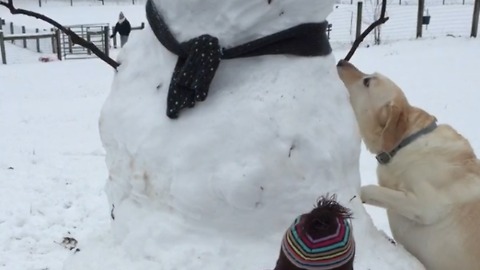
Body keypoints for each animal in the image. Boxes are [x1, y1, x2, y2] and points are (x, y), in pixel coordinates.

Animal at [336, 60, 480, 268]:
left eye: (367, 81)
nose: (341, 61)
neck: (405, 142)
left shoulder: (426, 205)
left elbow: (372, 189)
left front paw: (356, 194)